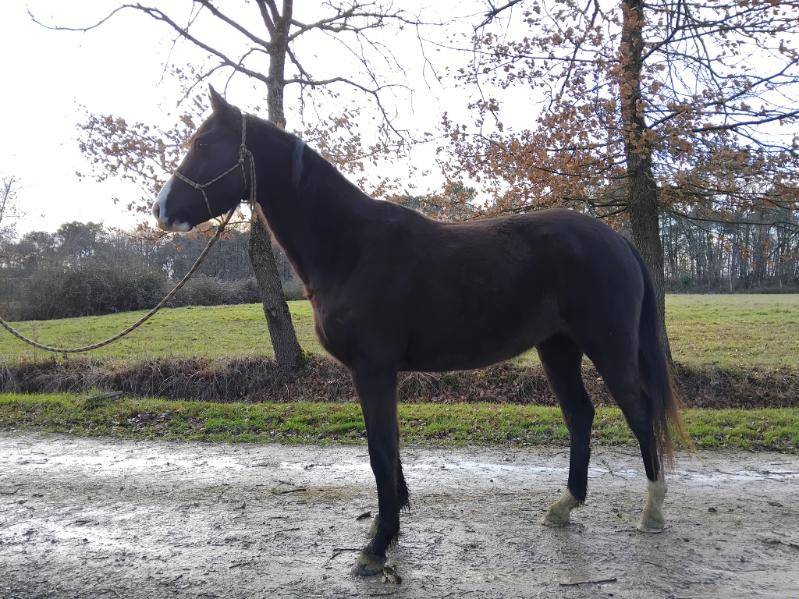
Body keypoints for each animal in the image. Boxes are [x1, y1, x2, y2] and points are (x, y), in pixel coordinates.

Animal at [153, 87, 686, 576]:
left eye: (204, 144)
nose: (161, 210)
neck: (350, 246)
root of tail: (617, 240)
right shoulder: (376, 373)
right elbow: (387, 449)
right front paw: (386, 527)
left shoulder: (373, 369)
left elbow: (381, 452)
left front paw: (376, 547)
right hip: (558, 349)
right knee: (580, 415)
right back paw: (564, 506)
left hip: (608, 346)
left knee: (640, 413)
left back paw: (653, 510)